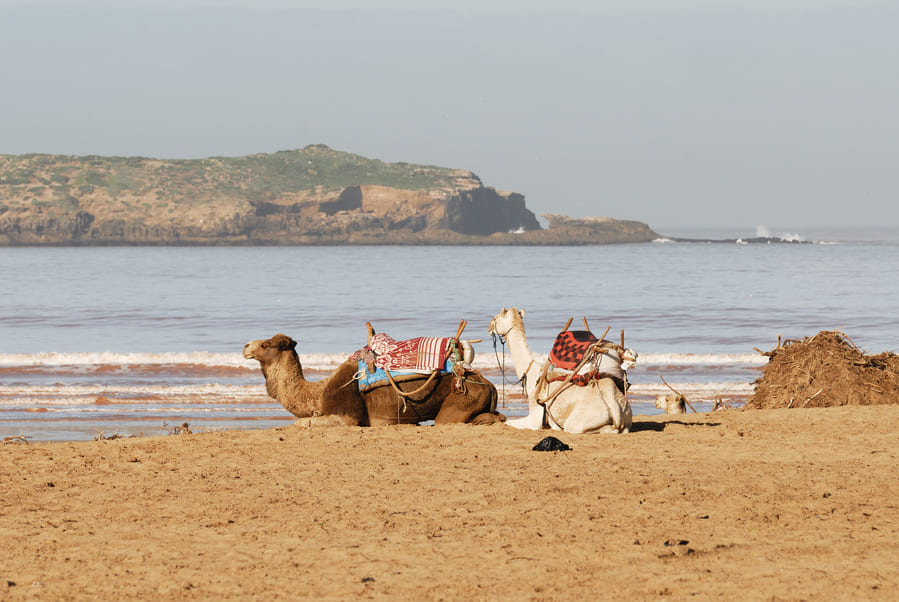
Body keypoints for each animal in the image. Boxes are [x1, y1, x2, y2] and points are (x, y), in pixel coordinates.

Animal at [243, 332, 506, 426]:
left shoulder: (348, 416)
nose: (246, 346)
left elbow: (301, 423)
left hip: (462, 397)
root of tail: (489, 384)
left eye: (266, 344)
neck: (318, 395)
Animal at [492, 310, 632, 432]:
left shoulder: (535, 419)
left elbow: (506, 423)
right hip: (626, 419)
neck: (533, 376)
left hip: (576, 423)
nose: (489, 327)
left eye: (497, 318)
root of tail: (614, 405)